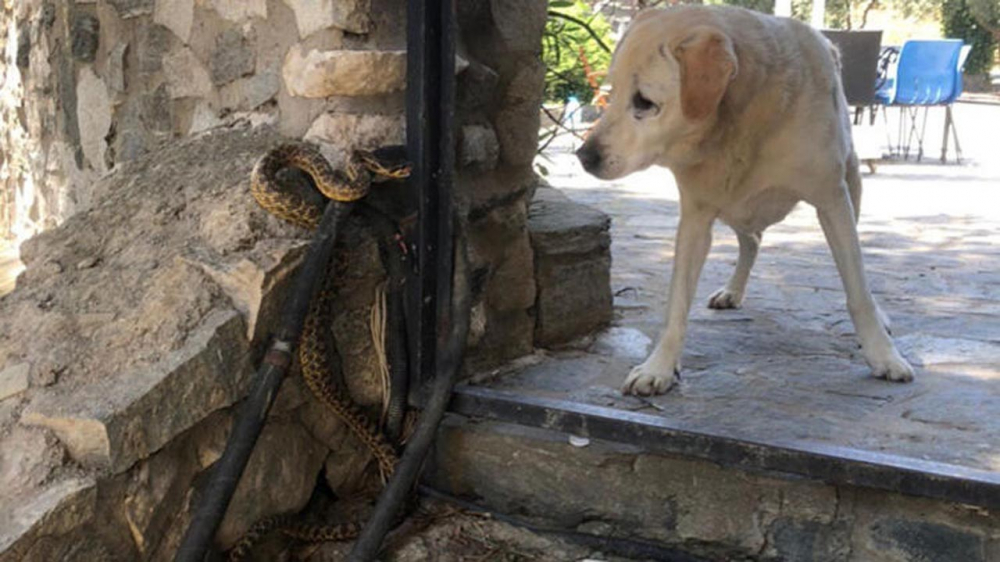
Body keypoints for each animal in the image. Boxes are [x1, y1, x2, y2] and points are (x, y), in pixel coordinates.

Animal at [580, 6, 916, 396]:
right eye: (612, 91)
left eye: (644, 102)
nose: (583, 156)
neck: (743, 120)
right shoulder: (696, 218)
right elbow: (676, 304)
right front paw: (659, 366)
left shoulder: (832, 201)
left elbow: (858, 291)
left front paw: (884, 355)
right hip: (736, 208)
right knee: (752, 240)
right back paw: (732, 290)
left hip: (851, 184)